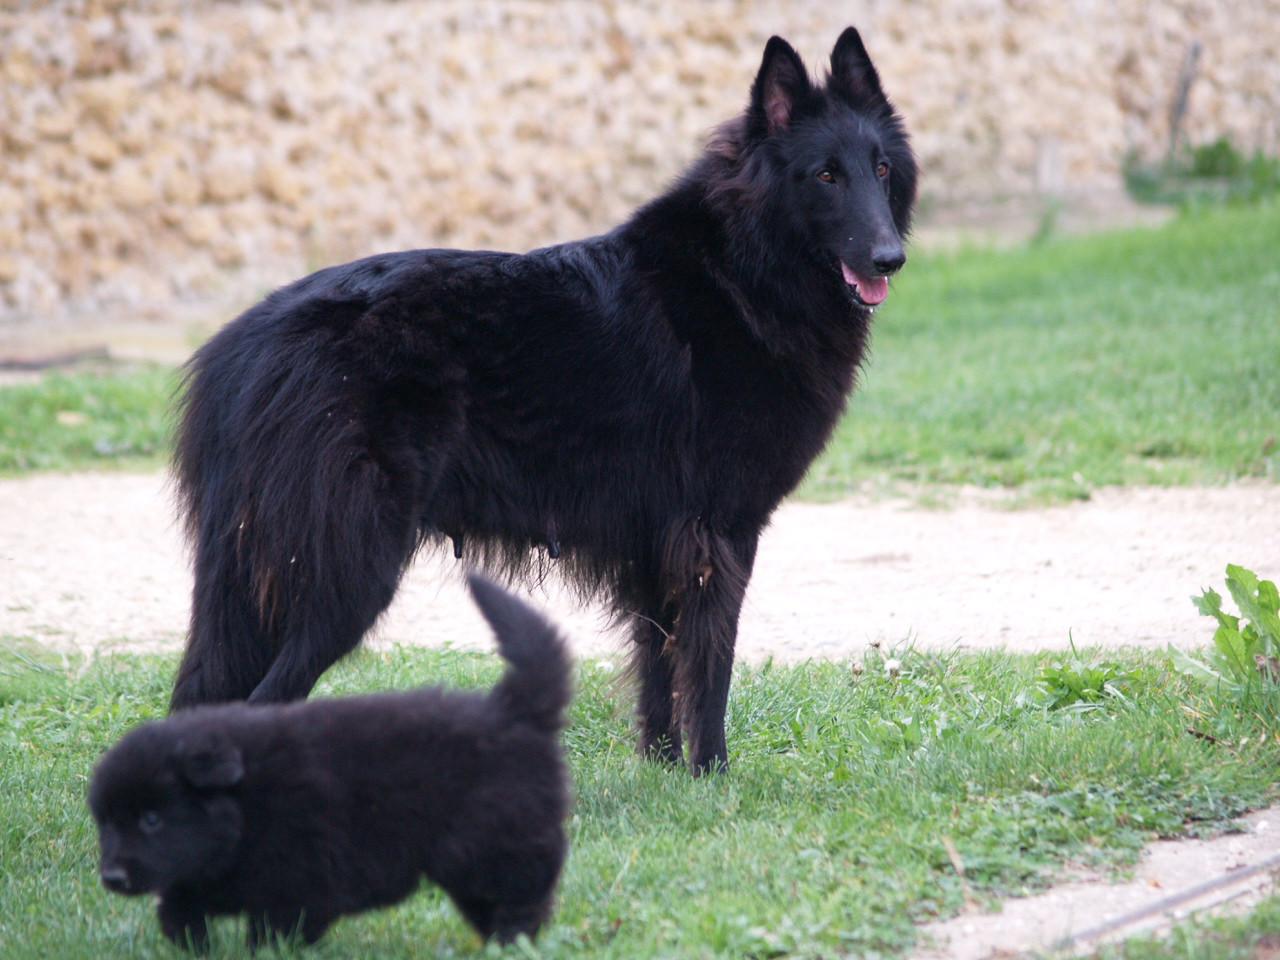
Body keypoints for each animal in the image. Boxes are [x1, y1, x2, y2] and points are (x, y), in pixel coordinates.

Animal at [87, 576, 568, 952]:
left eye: (151, 819)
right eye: (105, 824)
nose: (111, 876)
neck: (247, 803)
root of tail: (511, 710)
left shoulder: (302, 879)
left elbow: (276, 930)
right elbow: (181, 909)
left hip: (489, 845)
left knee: (521, 897)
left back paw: (511, 941)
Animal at [170, 26, 916, 773]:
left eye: (881, 170)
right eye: (825, 176)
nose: (890, 259)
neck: (741, 271)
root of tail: (244, 346)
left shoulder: (659, 542)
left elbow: (660, 665)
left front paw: (666, 773)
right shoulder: (721, 533)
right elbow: (709, 670)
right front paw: (713, 773)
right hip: (350, 575)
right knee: (262, 702)